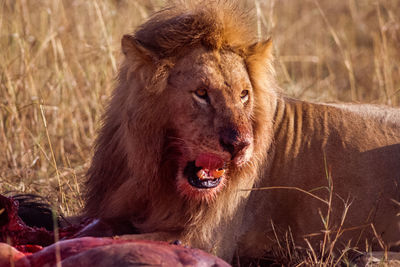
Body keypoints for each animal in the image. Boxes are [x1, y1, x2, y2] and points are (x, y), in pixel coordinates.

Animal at [82, 0, 400, 264]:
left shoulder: (206, 240)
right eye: (201, 93)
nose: (241, 145)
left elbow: (116, 239)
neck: (161, 174)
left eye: (244, 94)